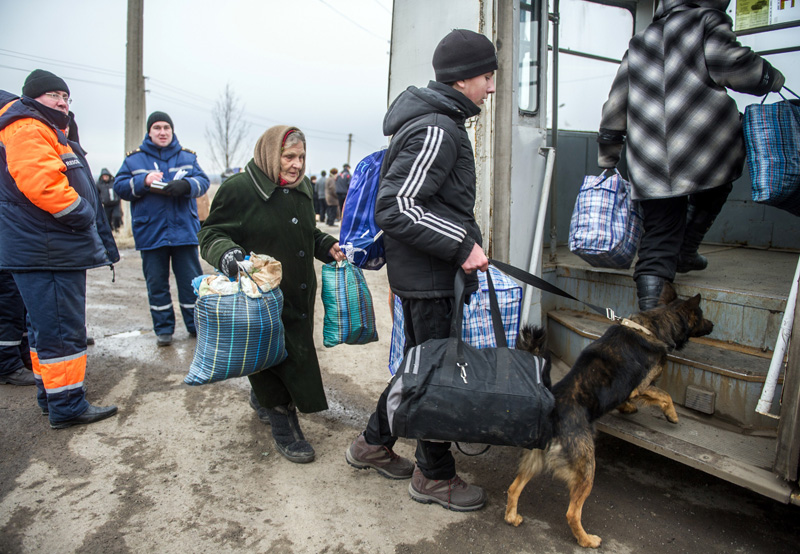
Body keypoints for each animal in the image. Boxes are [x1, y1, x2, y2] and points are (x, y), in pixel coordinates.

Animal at [504, 282, 716, 544]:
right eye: (702, 315)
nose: (713, 325)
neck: (653, 325)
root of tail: (552, 408)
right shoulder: (641, 385)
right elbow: (664, 395)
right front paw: (672, 415)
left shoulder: (629, 389)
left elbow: (627, 399)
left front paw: (628, 408)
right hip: (587, 466)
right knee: (572, 512)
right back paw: (586, 540)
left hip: (535, 460)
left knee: (513, 488)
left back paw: (512, 517)